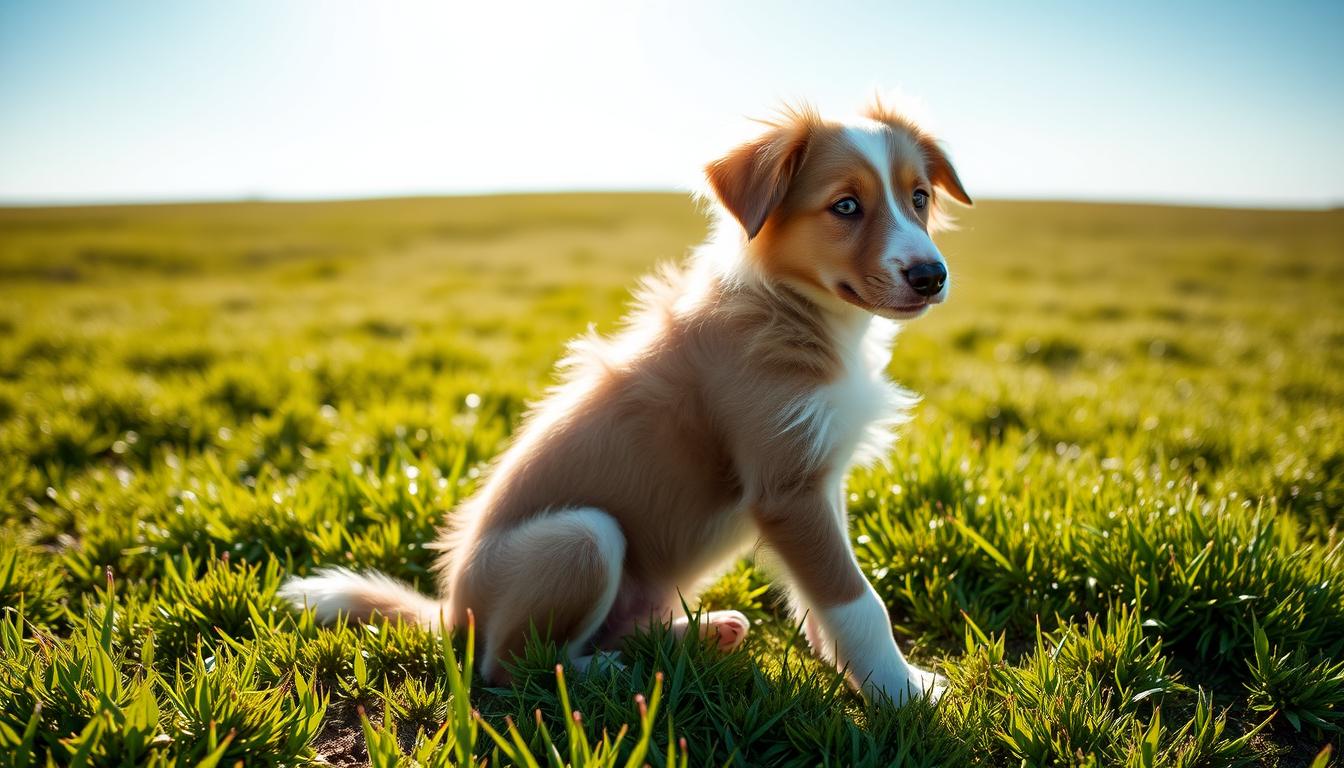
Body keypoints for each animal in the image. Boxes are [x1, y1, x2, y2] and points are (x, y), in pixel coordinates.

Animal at [283, 102, 973, 710]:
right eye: (845, 206)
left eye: (918, 198)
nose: (932, 276)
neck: (793, 311)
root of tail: (453, 612)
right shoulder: (789, 489)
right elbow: (858, 602)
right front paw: (902, 694)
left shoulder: (823, 477)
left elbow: (823, 601)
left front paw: (874, 677)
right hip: (580, 537)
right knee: (512, 667)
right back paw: (614, 673)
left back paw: (698, 636)